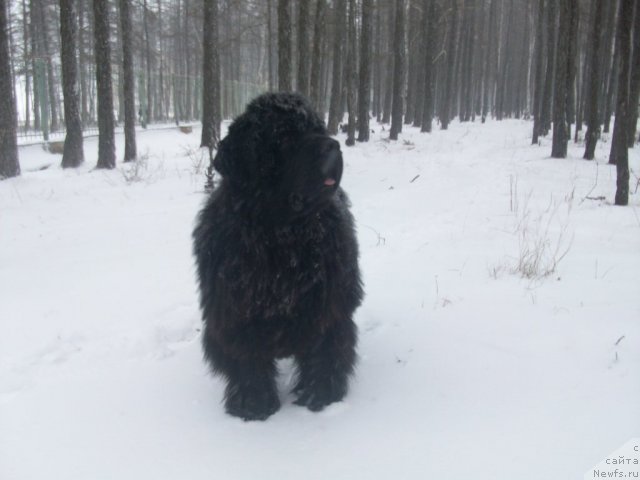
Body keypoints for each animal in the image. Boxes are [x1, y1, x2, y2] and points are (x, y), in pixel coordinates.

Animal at [192, 92, 362, 418]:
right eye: (284, 137)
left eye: (318, 128)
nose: (333, 146)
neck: (282, 235)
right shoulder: (235, 307)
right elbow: (246, 355)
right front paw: (253, 403)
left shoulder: (329, 303)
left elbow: (326, 347)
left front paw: (320, 394)